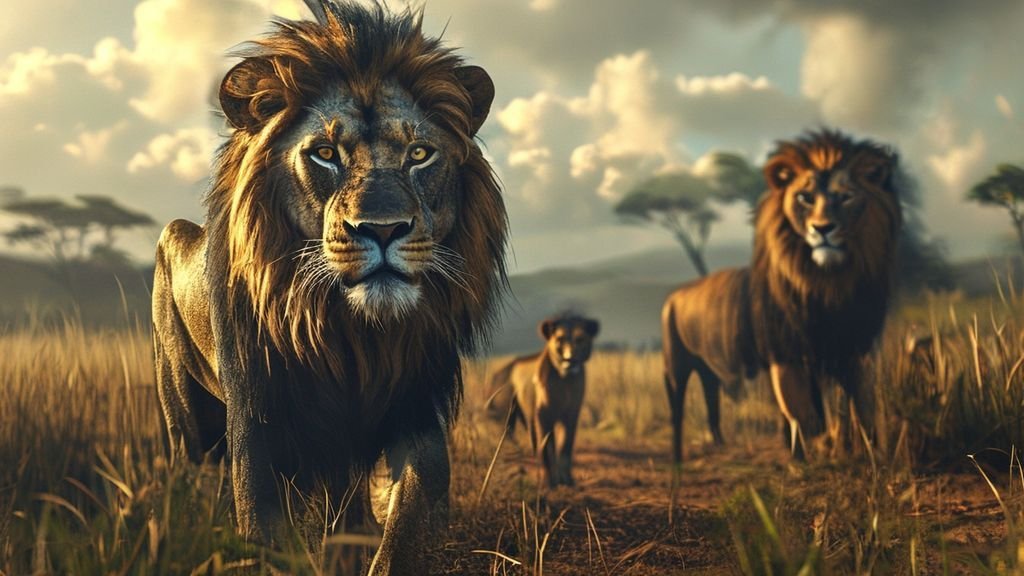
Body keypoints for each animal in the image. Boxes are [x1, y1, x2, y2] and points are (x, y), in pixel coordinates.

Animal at [151, 2, 507, 573]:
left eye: (420, 154)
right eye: (324, 153)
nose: (382, 229)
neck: (353, 334)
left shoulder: (416, 408)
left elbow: (405, 526)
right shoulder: (258, 421)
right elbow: (266, 533)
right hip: (186, 413)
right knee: (189, 473)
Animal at [486, 314, 600, 487]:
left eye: (580, 339)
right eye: (560, 339)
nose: (570, 359)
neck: (565, 380)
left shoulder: (571, 414)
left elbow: (565, 445)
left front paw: (567, 480)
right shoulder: (543, 414)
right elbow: (547, 446)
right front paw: (549, 481)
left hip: (527, 415)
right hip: (508, 414)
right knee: (510, 434)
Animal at [662, 129, 902, 464]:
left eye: (846, 196)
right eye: (805, 197)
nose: (823, 228)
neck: (828, 285)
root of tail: (674, 296)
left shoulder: (854, 349)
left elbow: (861, 406)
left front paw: (870, 453)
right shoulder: (786, 355)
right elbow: (798, 411)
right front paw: (807, 454)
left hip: (706, 366)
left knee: (710, 397)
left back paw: (718, 442)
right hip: (677, 365)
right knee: (676, 409)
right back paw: (676, 458)